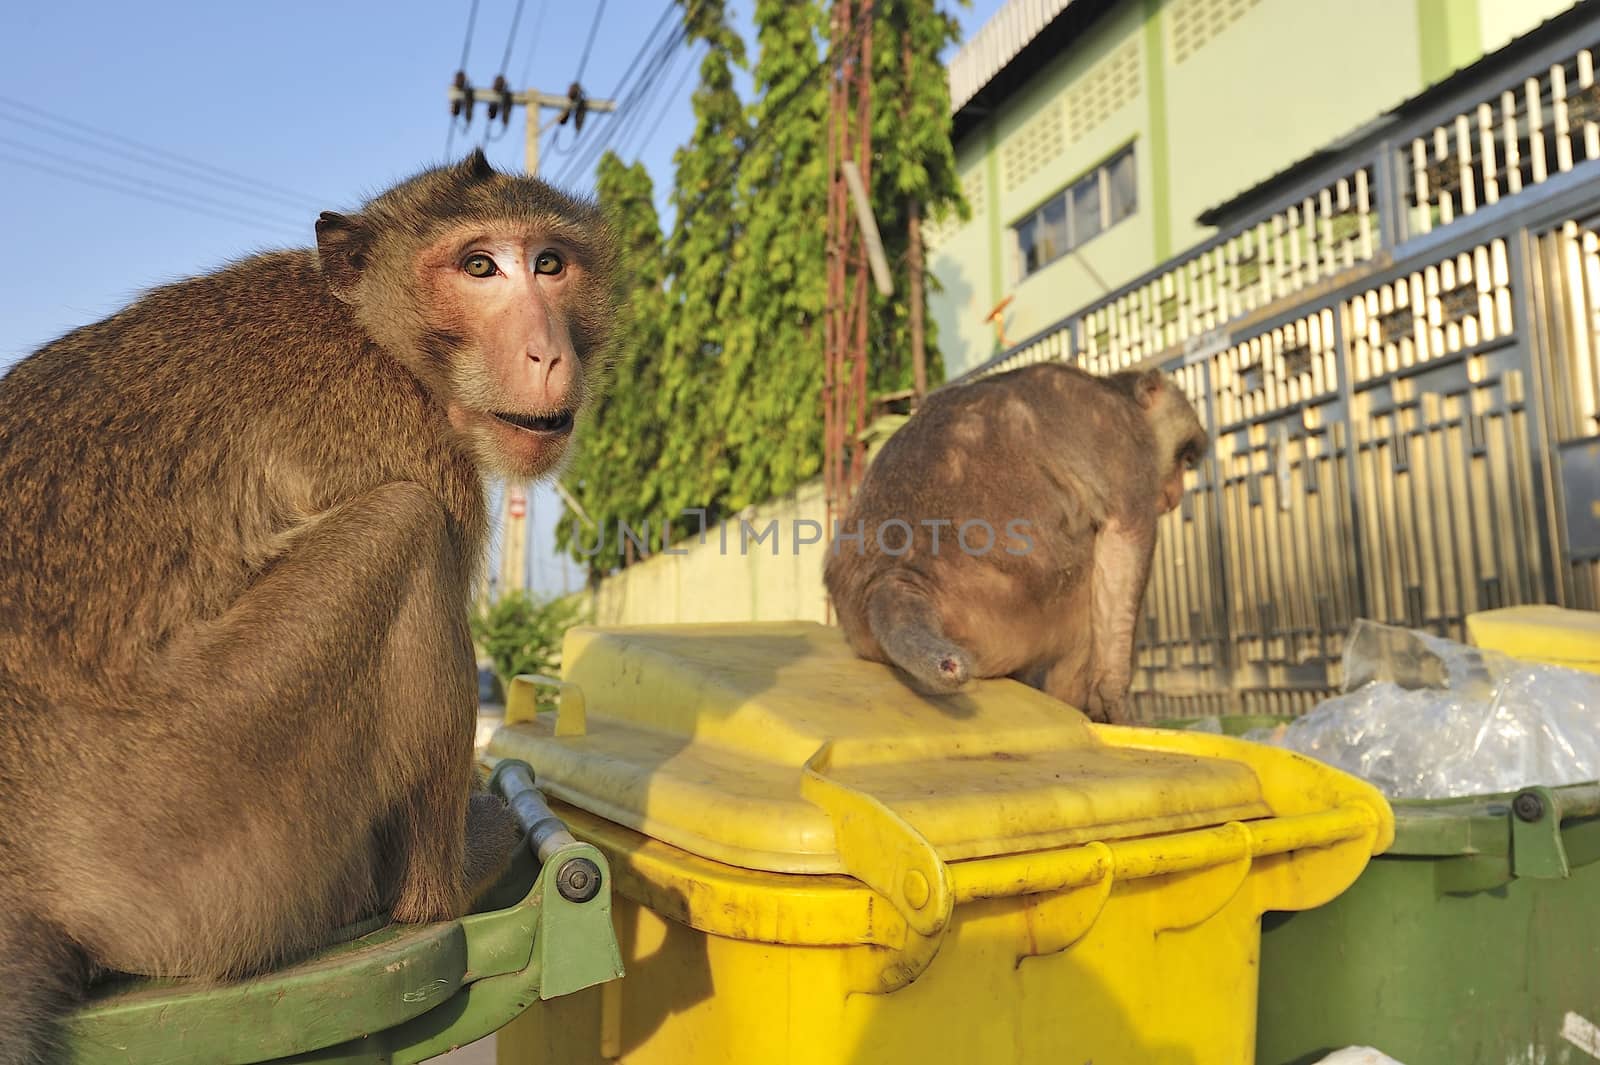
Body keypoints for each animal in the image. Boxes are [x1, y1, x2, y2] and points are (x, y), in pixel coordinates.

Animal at [0, 151, 620, 1061]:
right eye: (478, 267)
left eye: (549, 263)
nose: (546, 351)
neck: (373, 335)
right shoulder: (415, 443)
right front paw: (451, 874)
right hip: (189, 818)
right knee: (403, 528)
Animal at [825, 362, 1203, 722]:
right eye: (1184, 459)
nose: (1175, 494)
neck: (1115, 393)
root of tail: (892, 579)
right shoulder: (1125, 443)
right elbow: (1124, 537)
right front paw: (1114, 696)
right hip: (1020, 605)